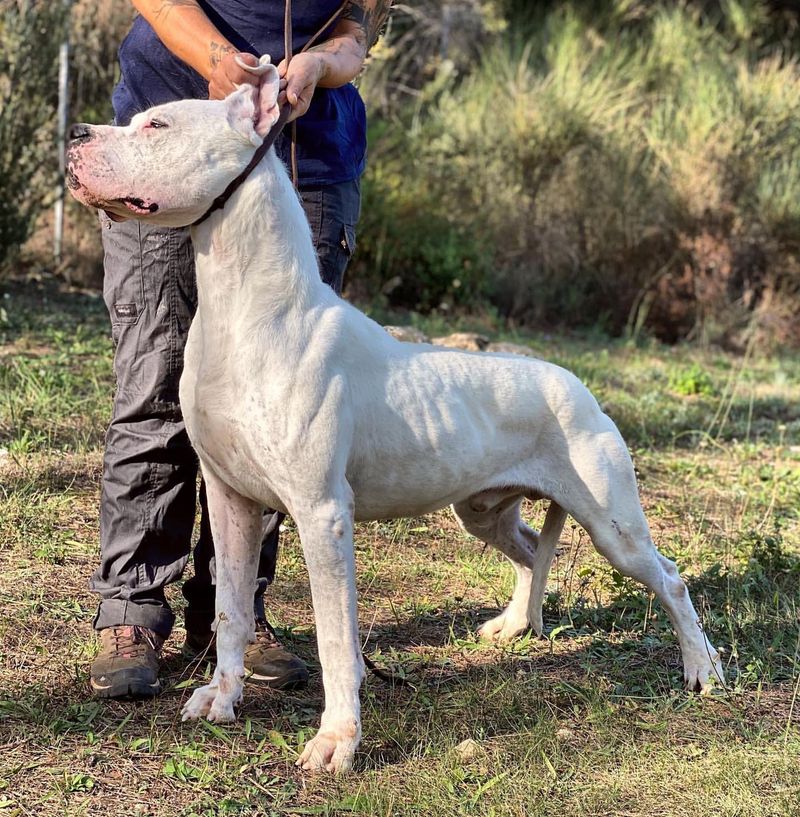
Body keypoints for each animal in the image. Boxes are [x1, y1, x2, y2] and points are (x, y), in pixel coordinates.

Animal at [69, 57, 724, 772]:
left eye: (158, 126)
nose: (75, 134)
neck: (248, 312)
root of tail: (577, 385)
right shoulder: (230, 499)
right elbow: (231, 609)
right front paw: (222, 697)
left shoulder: (322, 514)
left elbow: (335, 638)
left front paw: (336, 740)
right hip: (483, 510)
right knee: (530, 551)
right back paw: (513, 625)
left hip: (612, 523)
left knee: (670, 579)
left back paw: (704, 671)